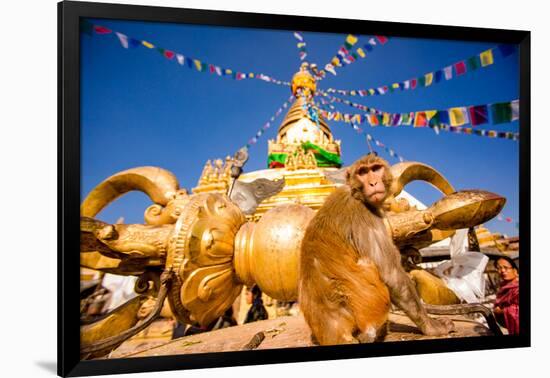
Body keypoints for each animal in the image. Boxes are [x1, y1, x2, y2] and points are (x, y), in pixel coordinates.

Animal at [300, 154, 454, 346]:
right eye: (363, 172)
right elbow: (392, 275)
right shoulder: (366, 214)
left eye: (375, 169)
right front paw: (431, 327)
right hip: (370, 307)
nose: (373, 183)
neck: (356, 193)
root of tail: (334, 331)